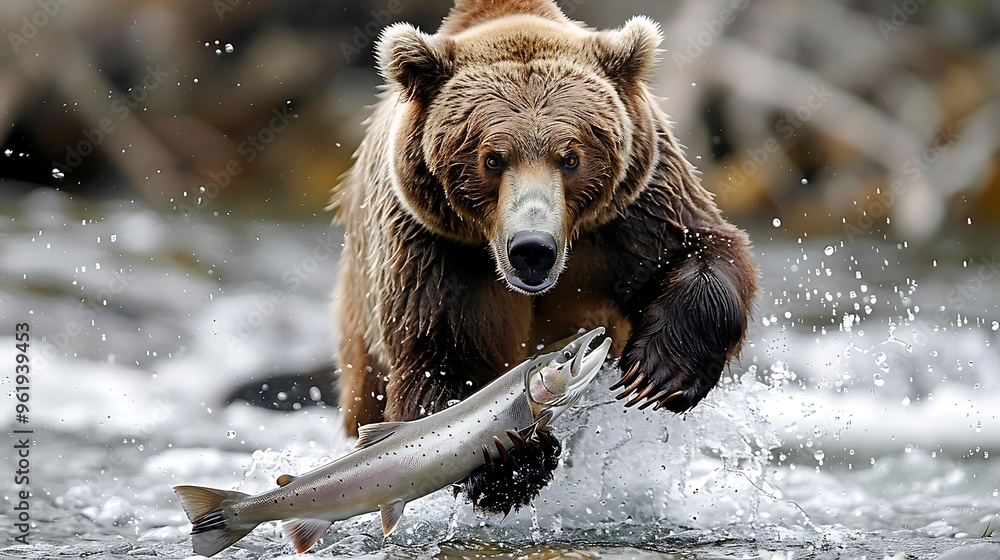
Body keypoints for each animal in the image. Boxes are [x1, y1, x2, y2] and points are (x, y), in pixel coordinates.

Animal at [329, 0, 757, 509]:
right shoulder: (433, 248)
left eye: (570, 157)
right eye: (492, 159)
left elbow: (704, 249)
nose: (532, 249)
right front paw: (510, 458)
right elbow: (438, 356)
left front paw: (657, 371)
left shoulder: (636, 209)